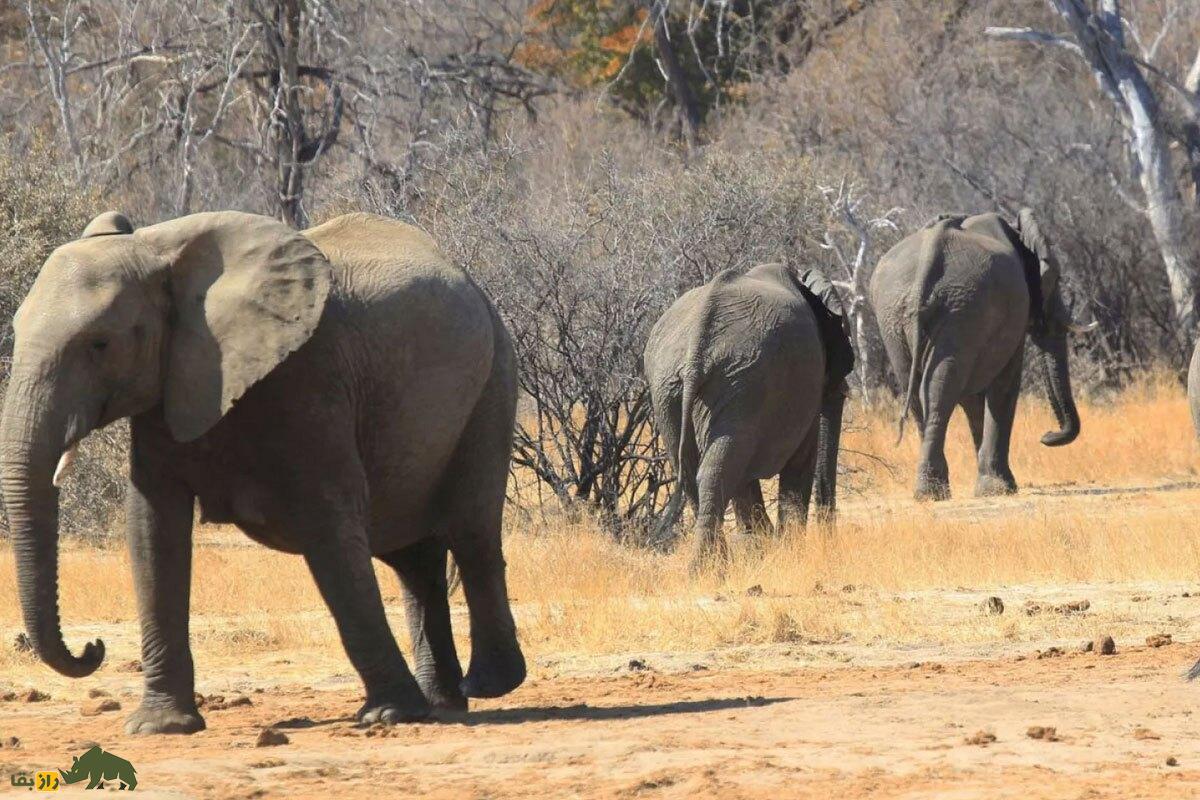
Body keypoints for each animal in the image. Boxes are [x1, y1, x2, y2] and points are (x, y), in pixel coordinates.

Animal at [0, 211, 525, 734]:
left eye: (100, 344)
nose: (93, 649)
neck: (159, 251)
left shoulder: (309, 379)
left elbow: (330, 527)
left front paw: (389, 714)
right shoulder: (169, 388)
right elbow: (152, 531)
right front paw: (160, 726)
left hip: (494, 378)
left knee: (471, 531)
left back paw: (486, 686)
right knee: (413, 558)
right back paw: (444, 702)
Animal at [648, 263, 854, 568]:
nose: (830, 546)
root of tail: (697, 346)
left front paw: (763, 546)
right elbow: (802, 459)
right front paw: (785, 550)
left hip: (677, 388)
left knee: (696, 468)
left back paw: (710, 567)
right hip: (740, 382)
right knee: (718, 468)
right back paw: (711, 568)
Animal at [868, 209, 1094, 503]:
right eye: (1055, 281)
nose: (1046, 435)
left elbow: (973, 397)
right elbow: (1005, 385)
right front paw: (1001, 488)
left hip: (897, 316)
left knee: (917, 389)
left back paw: (929, 492)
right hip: (962, 309)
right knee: (940, 390)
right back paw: (934, 492)